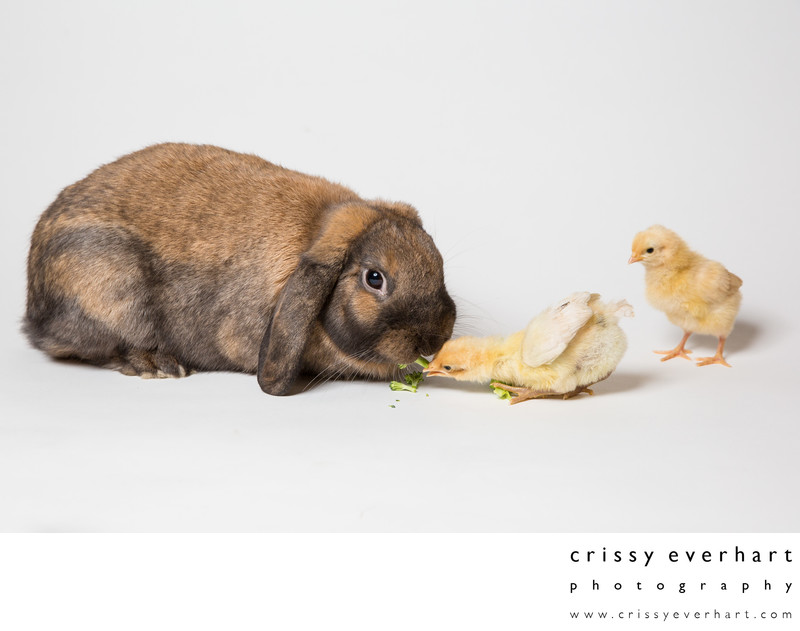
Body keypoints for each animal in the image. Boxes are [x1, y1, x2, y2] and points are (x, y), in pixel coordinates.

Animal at [23, 143, 456, 396]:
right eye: (374, 278)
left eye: (437, 260)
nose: (433, 339)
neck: (314, 231)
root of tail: (33, 308)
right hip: (110, 289)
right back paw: (159, 365)